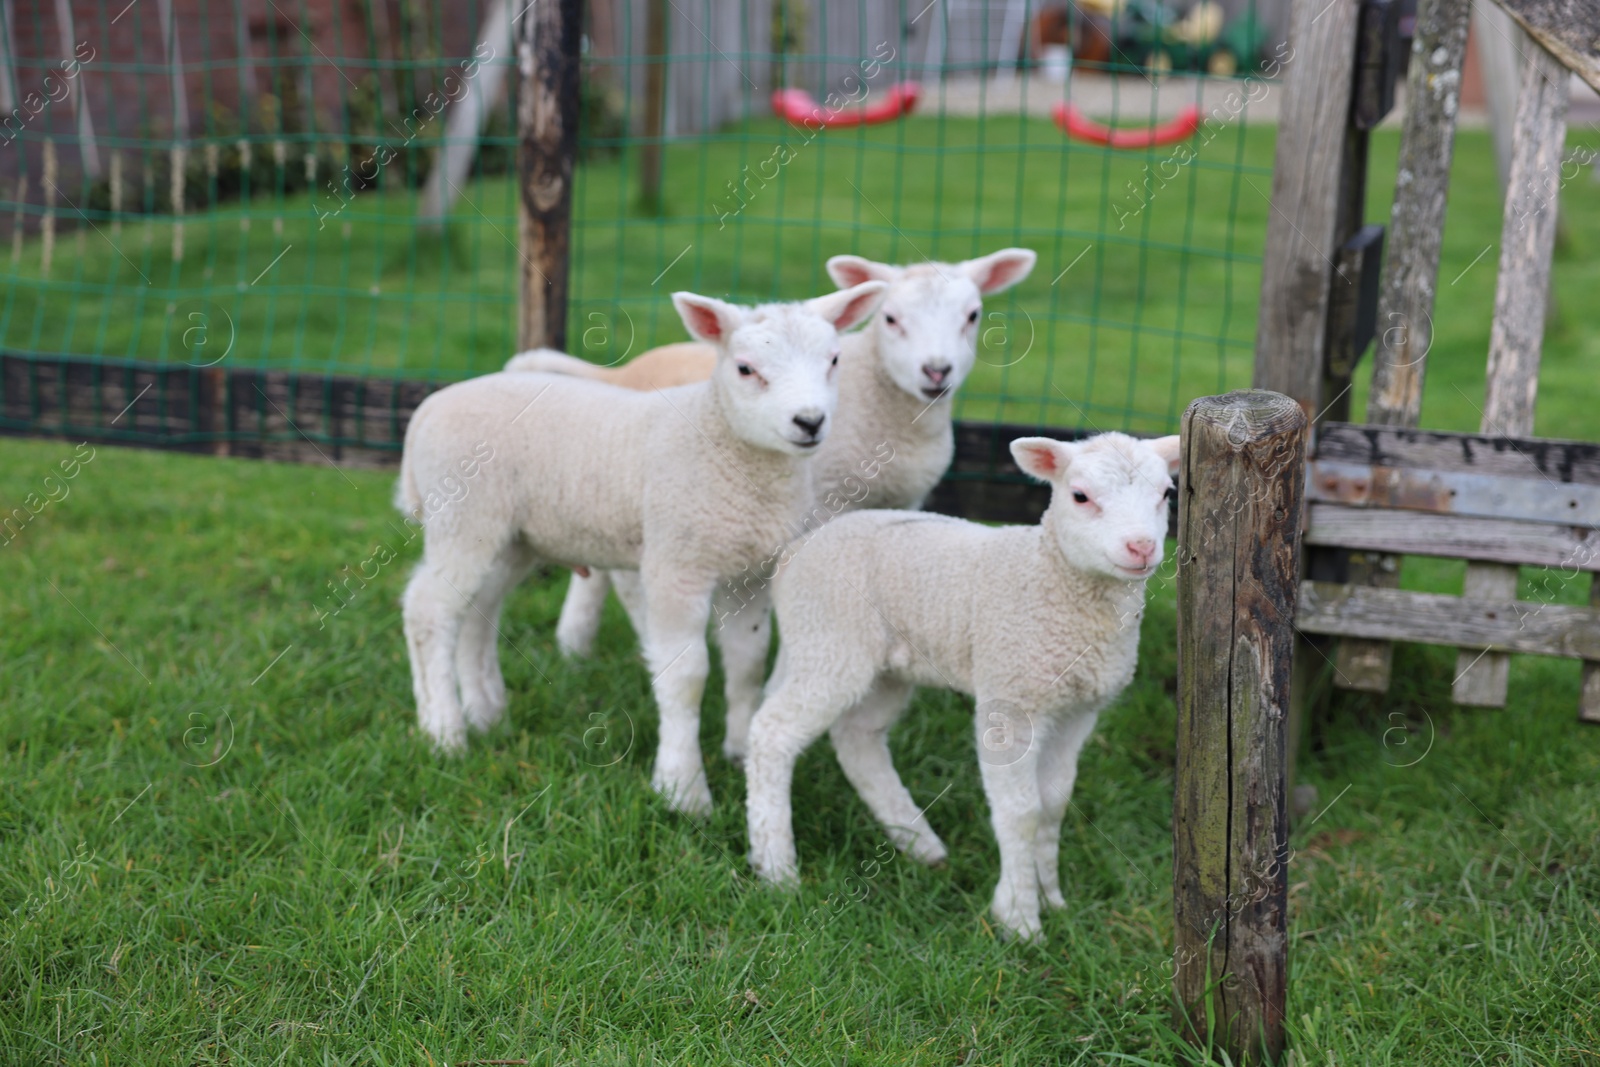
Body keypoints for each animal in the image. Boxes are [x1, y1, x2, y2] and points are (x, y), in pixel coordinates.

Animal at [392, 279, 883, 812]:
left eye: (834, 360)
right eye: (745, 369)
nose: (809, 421)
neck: (724, 444)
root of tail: (426, 412)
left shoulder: (749, 571)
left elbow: (748, 663)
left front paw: (737, 750)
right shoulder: (676, 563)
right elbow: (686, 676)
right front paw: (683, 789)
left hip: (510, 537)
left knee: (476, 611)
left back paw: (486, 713)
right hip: (463, 517)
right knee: (429, 610)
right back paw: (444, 732)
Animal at [508, 246, 1036, 764]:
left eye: (973, 315)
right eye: (890, 318)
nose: (936, 372)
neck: (886, 413)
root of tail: (622, 370)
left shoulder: (900, 506)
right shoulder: (812, 515)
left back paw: (575, 647)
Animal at [742, 428, 1184, 940]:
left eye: (1166, 494)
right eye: (1080, 496)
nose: (1141, 548)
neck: (1050, 578)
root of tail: (795, 552)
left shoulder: (1078, 710)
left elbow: (1054, 804)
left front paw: (1053, 899)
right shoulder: (1010, 695)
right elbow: (1021, 812)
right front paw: (1019, 918)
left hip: (881, 665)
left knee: (858, 739)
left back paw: (919, 843)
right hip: (831, 641)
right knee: (771, 734)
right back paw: (777, 868)